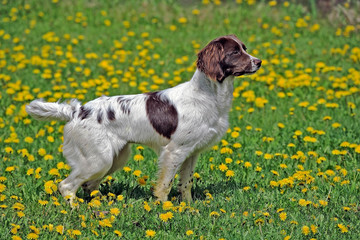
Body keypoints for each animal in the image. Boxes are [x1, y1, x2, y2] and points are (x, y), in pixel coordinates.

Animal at [26, 34, 262, 204]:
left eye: (245, 48)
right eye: (234, 52)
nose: (259, 62)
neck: (208, 95)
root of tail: (77, 110)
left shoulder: (191, 152)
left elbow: (185, 183)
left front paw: (189, 208)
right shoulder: (174, 151)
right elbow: (165, 184)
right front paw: (165, 208)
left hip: (115, 157)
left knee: (89, 186)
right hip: (99, 159)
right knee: (67, 186)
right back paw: (76, 209)